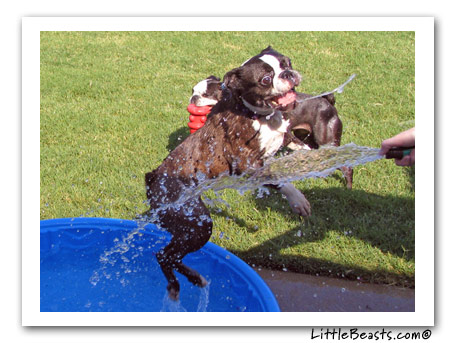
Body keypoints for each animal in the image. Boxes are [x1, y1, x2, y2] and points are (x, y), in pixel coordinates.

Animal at [146, 47, 310, 300]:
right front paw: (298, 199)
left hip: (188, 226)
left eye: (287, 63)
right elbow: (279, 178)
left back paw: (194, 278)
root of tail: (152, 179)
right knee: (165, 255)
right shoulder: (248, 165)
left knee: (170, 255)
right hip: (195, 224)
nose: (288, 74)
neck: (259, 115)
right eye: (265, 79)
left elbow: (296, 145)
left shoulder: (280, 140)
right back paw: (177, 285)